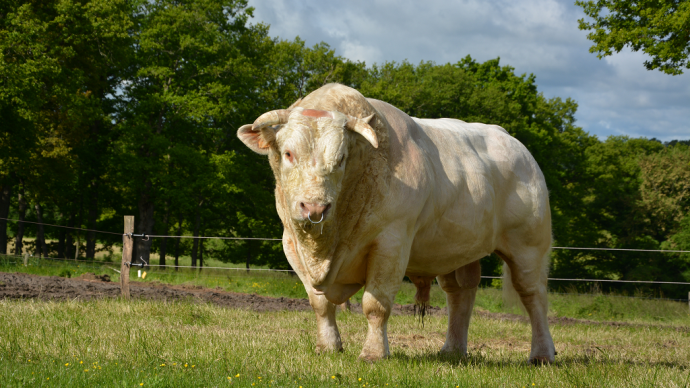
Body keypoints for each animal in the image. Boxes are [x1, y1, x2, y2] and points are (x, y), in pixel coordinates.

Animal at [236, 82, 552, 364]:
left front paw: (374, 354)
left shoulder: (391, 243)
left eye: (341, 158)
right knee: (460, 294)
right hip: (455, 248)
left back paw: (542, 354)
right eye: (288, 153)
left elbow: (375, 304)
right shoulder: (290, 243)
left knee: (533, 295)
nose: (315, 208)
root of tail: (516, 145)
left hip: (529, 245)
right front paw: (328, 347)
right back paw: (452, 351)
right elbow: (320, 303)